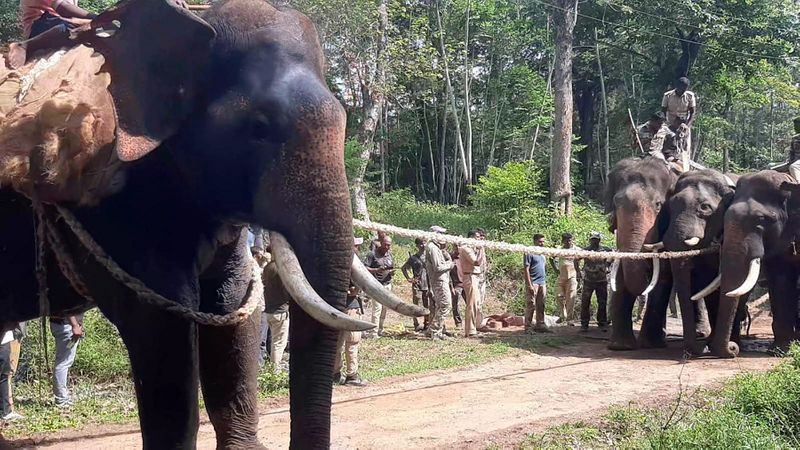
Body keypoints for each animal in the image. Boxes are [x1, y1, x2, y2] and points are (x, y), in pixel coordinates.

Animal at [608, 156, 676, 350]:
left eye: (658, 205)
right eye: (615, 203)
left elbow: (663, 278)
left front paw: (649, 344)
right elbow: (620, 278)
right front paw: (621, 346)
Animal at [656, 169, 752, 356]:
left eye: (705, 207)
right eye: (669, 207)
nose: (697, 349)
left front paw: (730, 345)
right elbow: (706, 284)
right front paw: (709, 344)